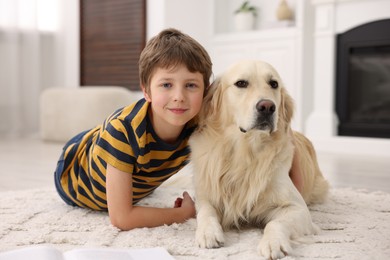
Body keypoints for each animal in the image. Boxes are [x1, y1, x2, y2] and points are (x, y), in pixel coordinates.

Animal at [190, 60, 330, 258]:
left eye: (274, 84)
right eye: (241, 83)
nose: (267, 107)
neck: (246, 151)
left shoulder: (298, 208)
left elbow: (275, 223)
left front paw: (273, 243)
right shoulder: (204, 195)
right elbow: (206, 212)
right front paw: (208, 233)